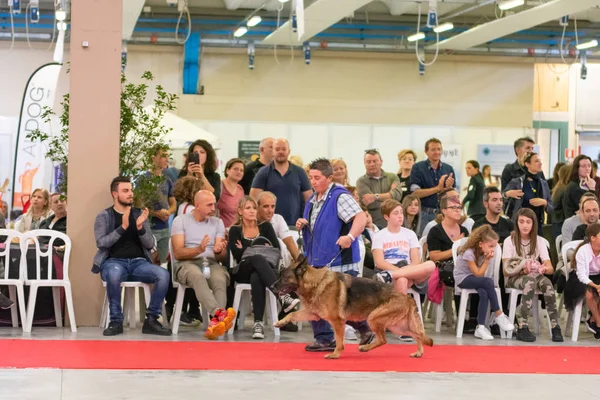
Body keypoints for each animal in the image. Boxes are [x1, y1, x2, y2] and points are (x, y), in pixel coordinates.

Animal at [270, 256, 432, 360]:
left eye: (283, 277)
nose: (271, 287)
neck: (316, 282)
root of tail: (407, 297)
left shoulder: (337, 322)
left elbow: (339, 341)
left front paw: (335, 354)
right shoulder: (313, 314)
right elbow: (292, 314)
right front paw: (280, 322)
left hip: (374, 319)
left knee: (384, 339)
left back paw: (365, 347)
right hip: (396, 326)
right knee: (417, 335)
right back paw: (419, 352)